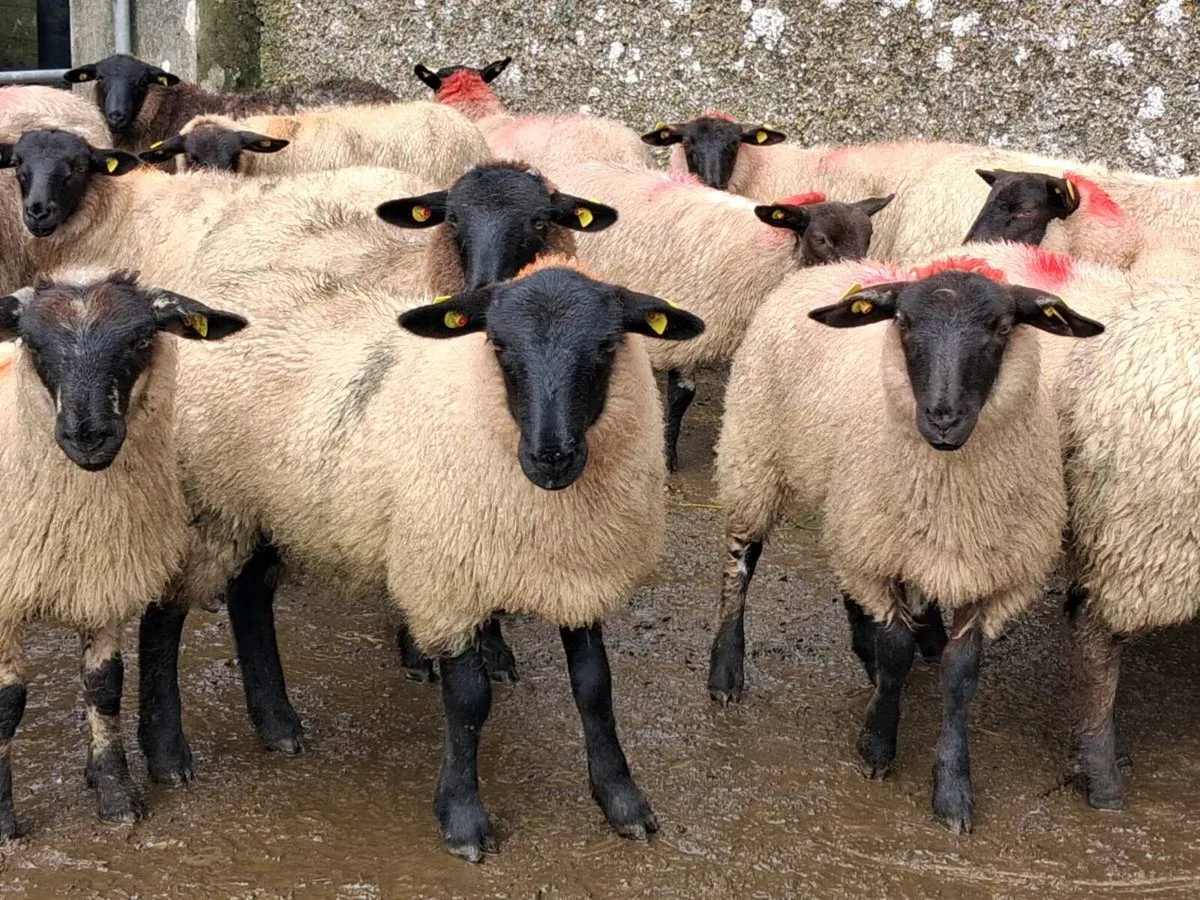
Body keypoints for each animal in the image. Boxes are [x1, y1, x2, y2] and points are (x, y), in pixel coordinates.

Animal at [0, 268, 245, 840]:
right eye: (33, 344)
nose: (88, 436)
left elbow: (104, 686)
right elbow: (7, 706)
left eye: (138, 340)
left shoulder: (104, 576)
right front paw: (2, 821)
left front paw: (114, 791)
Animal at [134, 258, 703, 860]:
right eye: (498, 345)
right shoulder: (446, 579)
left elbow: (595, 689)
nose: (550, 456)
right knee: (163, 616)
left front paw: (623, 801)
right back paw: (167, 753)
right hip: (207, 504)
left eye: (606, 346)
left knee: (248, 596)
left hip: (265, 506)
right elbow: (470, 701)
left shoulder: (579, 575)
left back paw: (277, 723)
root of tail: (212, 297)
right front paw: (463, 819)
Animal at [552, 160, 891, 471]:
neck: (768, 252)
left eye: (869, 236)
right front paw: (669, 456)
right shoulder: (685, 328)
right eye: (821, 239)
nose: (853, 279)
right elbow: (681, 396)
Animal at [711, 256, 1104, 833]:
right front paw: (877, 744)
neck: (949, 493)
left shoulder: (977, 571)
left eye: (1002, 327)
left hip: (852, 512)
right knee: (741, 562)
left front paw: (953, 789)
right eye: (903, 322)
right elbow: (896, 651)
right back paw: (725, 669)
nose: (942, 417)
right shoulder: (885, 554)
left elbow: (961, 676)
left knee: (848, 574)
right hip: (753, 452)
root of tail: (836, 265)